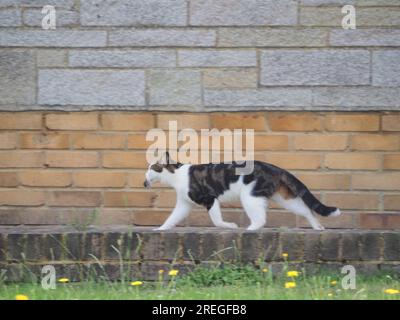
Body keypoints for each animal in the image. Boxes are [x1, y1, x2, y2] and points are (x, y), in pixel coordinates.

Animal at [144, 152, 340, 230]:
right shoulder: (184, 204)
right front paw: (160, 229)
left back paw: (249, 229)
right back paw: (317, 226)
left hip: (250, 196)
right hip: (284, 199)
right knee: (306, 210)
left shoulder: (209, 198)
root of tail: (276, 168)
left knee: (260, 219)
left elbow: (217, 221)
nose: (144, 179)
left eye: (151, 168)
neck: (176, 175)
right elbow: (172, 218)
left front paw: (230, 226)